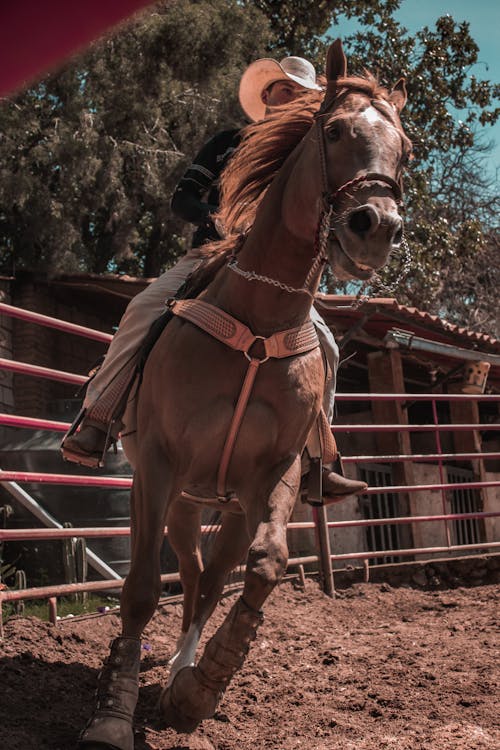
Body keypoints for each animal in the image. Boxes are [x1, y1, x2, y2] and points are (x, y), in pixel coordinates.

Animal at [80, 38, 412, 748]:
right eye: (333, 130)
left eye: (403, 150)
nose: (375, 225)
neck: (259, 320)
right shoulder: (157, 465)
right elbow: (141, 588)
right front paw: (114, 710)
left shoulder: (275, 472)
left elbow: (265, 564)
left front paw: (200, 688)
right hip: (180, 498)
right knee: (187, 572)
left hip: (225, 504)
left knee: (212, 578)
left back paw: (183, 672)